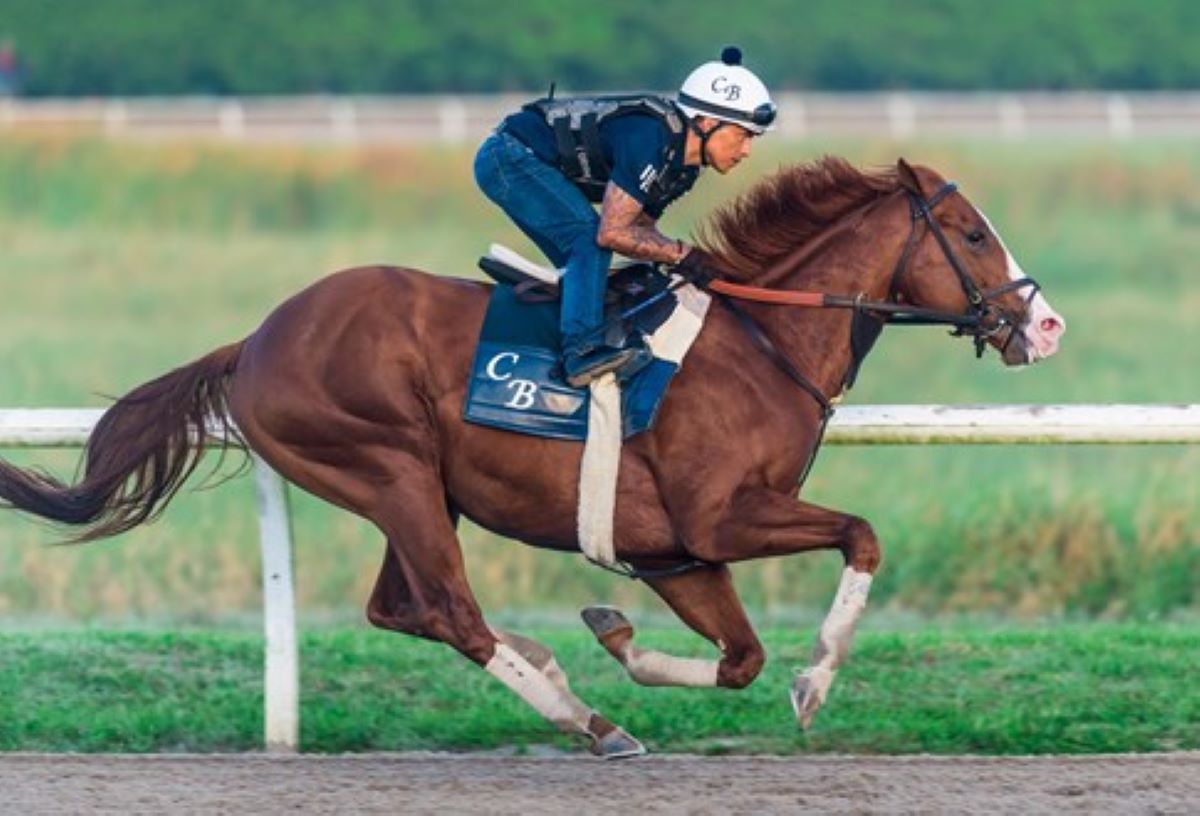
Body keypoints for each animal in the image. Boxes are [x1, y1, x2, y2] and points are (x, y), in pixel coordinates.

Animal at [2, 159, 1070, 758]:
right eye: (971, 232)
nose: (1046, 324)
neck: (763, 343)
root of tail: (255, 341)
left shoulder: (674, 551)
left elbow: (739, 658)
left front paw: (617, 634)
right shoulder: (720, 516)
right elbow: (861, 536)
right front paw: (815, 682)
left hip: (419, 491)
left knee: (402, 608)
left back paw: (560, 670)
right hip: (387, 465)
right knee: (451, 613)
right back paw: (589, 722)